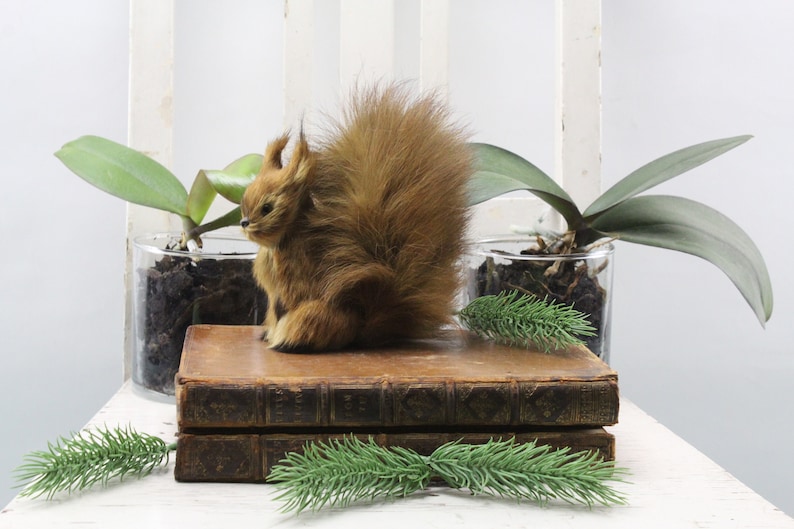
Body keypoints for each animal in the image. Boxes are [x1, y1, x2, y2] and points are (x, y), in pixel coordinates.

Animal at [240, 84, 473, 352]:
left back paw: (290, 342)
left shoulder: (296, 266)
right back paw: (270, 335)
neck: (275, 246)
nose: (244, 223)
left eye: (267, 207)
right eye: (243, 201)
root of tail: (358, 331)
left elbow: (297, 292)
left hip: (314, 315)